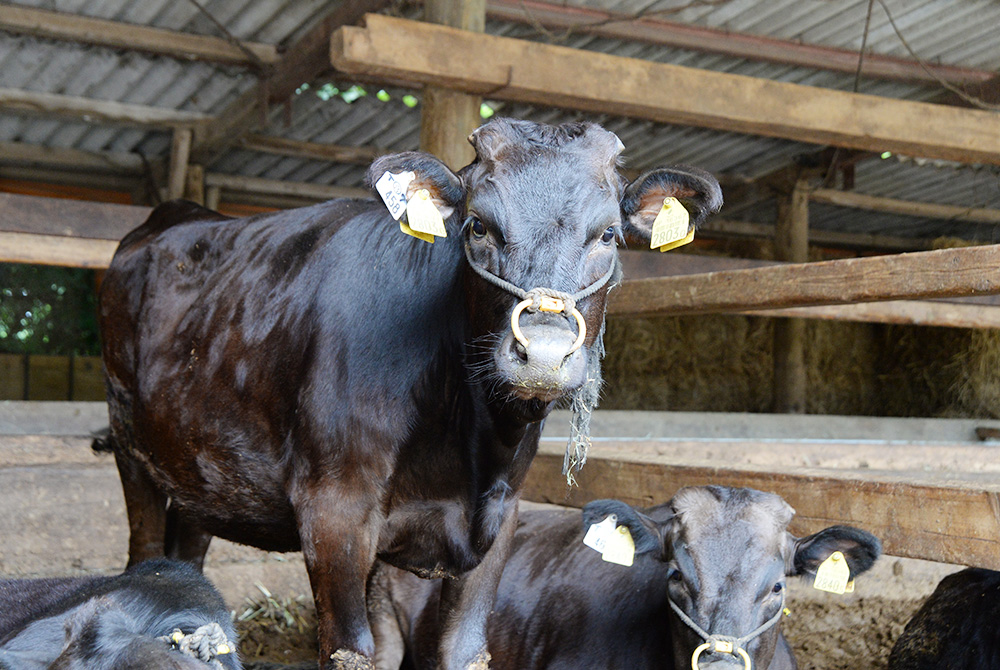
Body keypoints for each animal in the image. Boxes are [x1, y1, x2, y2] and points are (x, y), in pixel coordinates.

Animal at [97, 117, 724, 670]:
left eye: (609, 235)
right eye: (478, 226)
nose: (544, 353)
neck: (464, 445)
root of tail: (176, 213)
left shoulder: (498, 519)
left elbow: (461, 650)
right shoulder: (334, 510)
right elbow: (350, 650)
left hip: (198, 468)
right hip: (132, 450)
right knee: (145, 555)